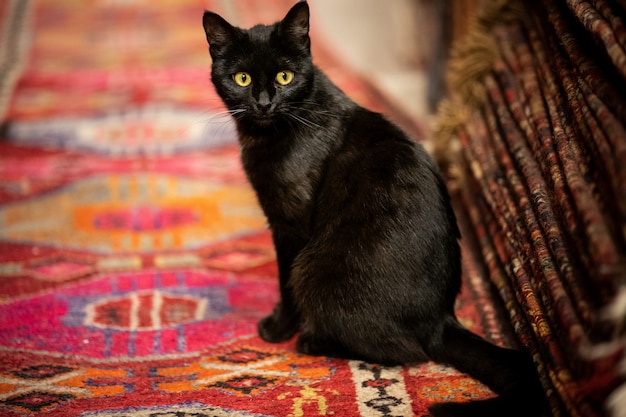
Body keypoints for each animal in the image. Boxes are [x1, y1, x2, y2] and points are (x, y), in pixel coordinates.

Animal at [202, 1, 544, 414]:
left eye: (285, 76)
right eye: (242, 78)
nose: (264, 102)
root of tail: (441, 320)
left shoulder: (291, 225)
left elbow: (284, 282)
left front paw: (279, 328)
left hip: (315, 271)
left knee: (401, 351)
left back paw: (311, 341)